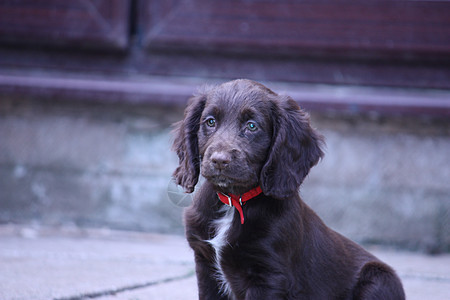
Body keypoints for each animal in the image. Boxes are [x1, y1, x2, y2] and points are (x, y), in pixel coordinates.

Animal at [171, 78, 404, 298]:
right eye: (210, 122)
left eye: (252, 126)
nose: (219, 160)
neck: (234, 202)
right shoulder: (205, 264)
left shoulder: (268, 276)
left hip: (379, 278)